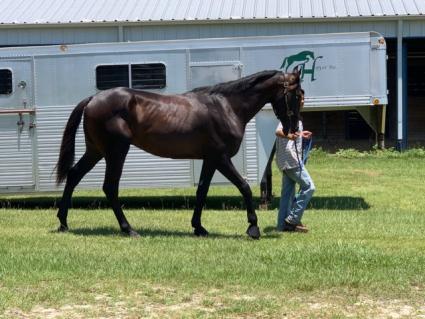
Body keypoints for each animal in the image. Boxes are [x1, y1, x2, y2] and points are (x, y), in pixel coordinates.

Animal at [55, 70, 302, 240]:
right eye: (297, 95)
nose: (292, 130)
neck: (226, 107)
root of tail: (92, 99)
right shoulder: (221, 158)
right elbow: (244, 187)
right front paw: (253, 227)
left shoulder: (210, 160)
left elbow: (202, 191)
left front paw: (199, 227)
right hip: (116, 152)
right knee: (110, 187)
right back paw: (128, 229)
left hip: (95, 151)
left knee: (74, 175)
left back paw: (63, 223)